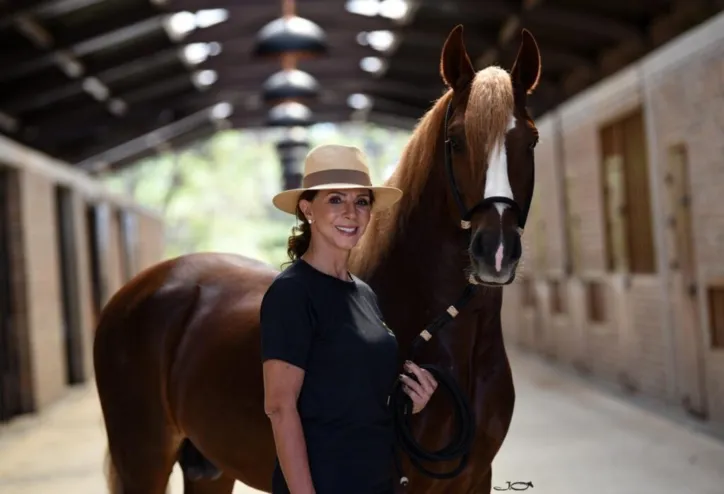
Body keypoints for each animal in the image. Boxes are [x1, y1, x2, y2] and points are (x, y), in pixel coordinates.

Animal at [93, 25, 540, 492]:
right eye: (455, 141)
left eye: (531, 141)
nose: (496, 252)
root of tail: (136, 291)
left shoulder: (476, 477)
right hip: (142, 461)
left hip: (209, 467)